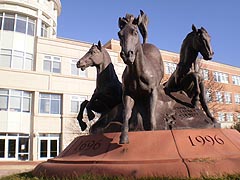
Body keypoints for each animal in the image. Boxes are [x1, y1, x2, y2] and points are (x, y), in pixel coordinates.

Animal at [118, 11, 165, 144]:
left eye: (135, 32)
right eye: (119, 34)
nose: (127, 55)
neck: (137, 74)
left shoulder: (153, 92)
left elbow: (151, 115)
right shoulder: (127, 93)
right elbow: (126, 114)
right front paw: (124, 138)